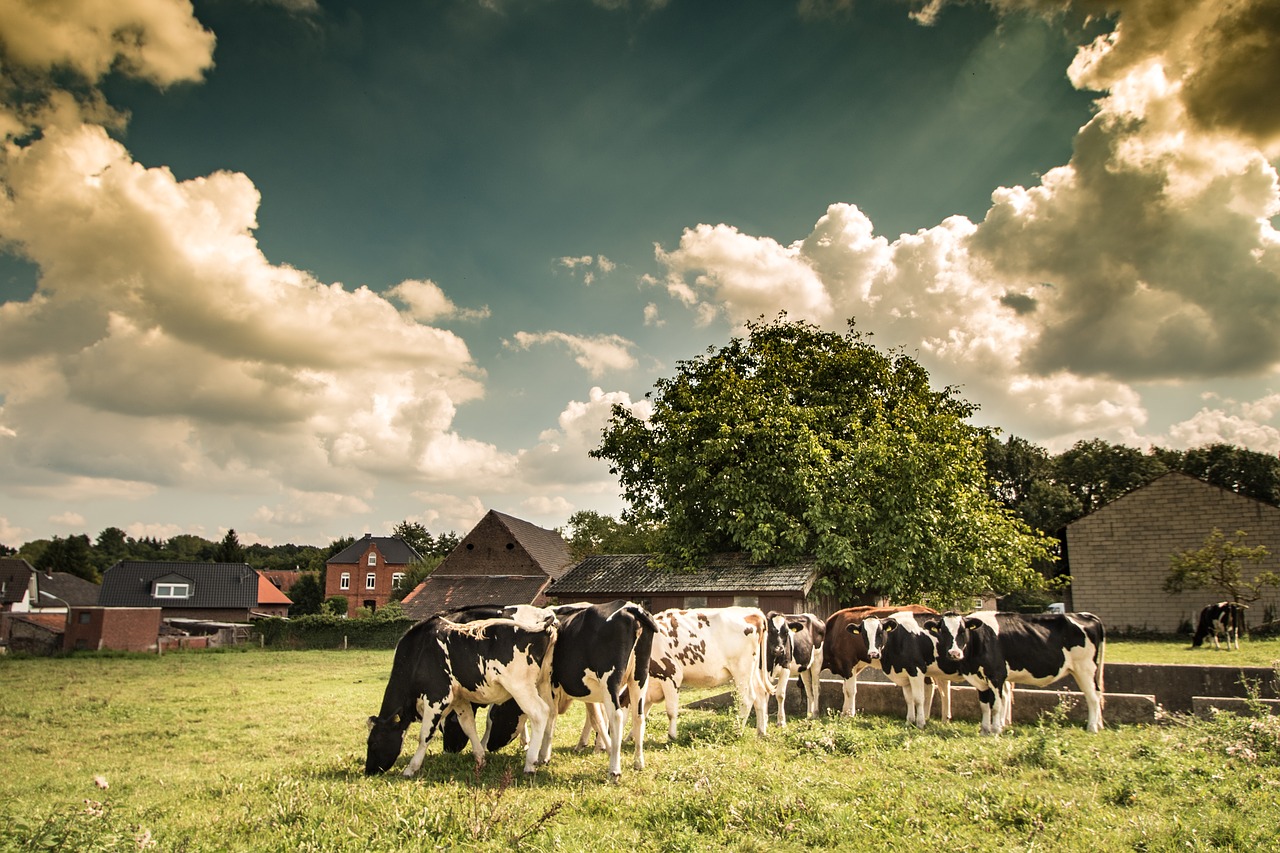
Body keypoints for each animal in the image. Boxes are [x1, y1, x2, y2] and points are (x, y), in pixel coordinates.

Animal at [363, 607, 558, 773]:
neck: (419, 651)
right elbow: (468, 726)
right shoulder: (459, 699)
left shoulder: (437, 697)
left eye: (373, 743)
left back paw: (530, 763)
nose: (369, 771)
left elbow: (425, 735)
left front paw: (411, 768)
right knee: (551, 712)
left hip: (520, 687)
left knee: (539, 713)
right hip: (543, 684)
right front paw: (480, 759)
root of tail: (544, 625)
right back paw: (543, 757)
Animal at [545, 596, 660, 778]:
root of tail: (631, 608)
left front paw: (542, 755)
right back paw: (638, 763)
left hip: (610, 679)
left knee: (616, 716)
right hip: (639, 676)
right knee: (638, 715)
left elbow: (550, 716)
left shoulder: (552, 686)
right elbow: (595, 717)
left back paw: (614, 770)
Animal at [645, 604, 773, 737]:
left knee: (747, 699)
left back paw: (737, 732)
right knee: (761, 694)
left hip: (742, 670)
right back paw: (761, 733)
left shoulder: (671, 674)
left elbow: (670, 710)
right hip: (753, 670)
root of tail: (753, 611)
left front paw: (671, 736)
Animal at [926, 607, 1105, 732]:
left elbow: (996, 705)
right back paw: (1098, 725)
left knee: (1092, 697)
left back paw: (1092, 727)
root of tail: (1088, 616)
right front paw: (984, 730)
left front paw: (995, 730)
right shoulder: (979, 678)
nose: (954, 654)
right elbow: (984, 705)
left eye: (963, 630)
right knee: (1097, 694)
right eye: (943, 631)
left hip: (1085, 669)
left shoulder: (996, 675)